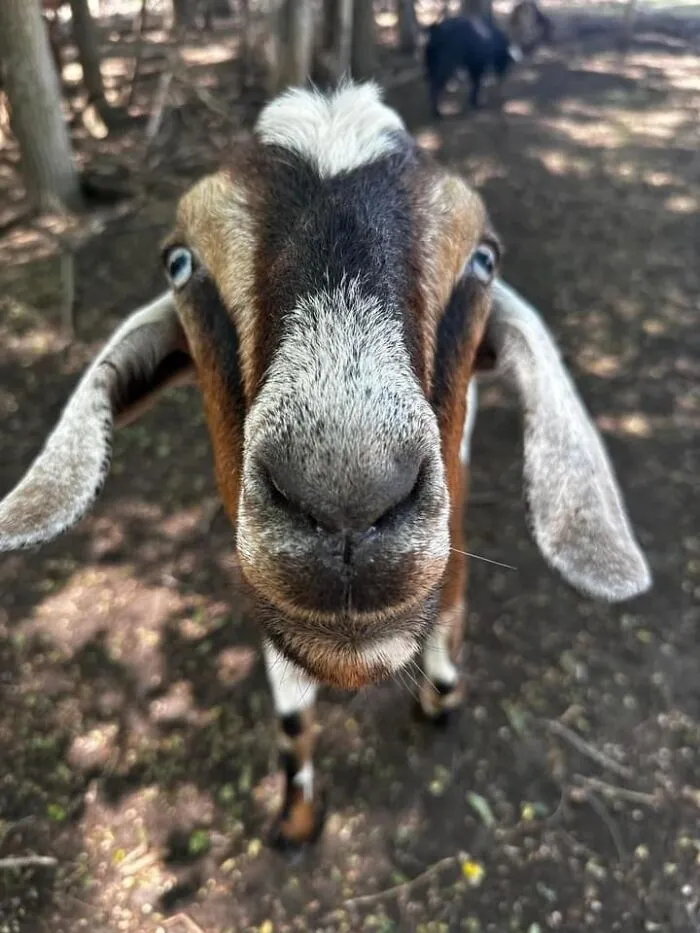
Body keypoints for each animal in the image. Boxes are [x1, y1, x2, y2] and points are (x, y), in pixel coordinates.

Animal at [0, 81, 651, 850]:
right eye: (179, 264)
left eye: (483, 260)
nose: (345, 495)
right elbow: (290, 717)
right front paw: (296, 816)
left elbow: (450, 606)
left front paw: (440, 698)